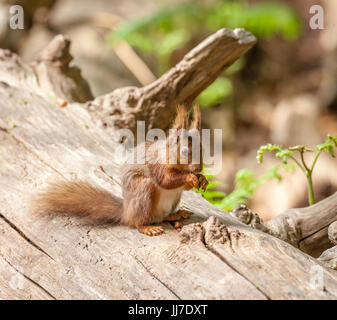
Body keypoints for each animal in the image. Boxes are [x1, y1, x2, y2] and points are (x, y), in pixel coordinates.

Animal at [32, 105, 209, 235]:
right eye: (184, 151)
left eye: (203, 149)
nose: (198, 167)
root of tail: (126, 213)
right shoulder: (156, 165)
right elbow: (166, 180)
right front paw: (190, 177)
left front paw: (202, 179)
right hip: (143, 190)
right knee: (138, 222)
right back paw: (148, 228)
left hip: (173, 200)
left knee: (164, 217)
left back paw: (176, 214)